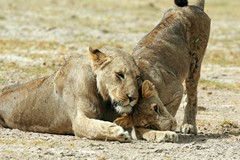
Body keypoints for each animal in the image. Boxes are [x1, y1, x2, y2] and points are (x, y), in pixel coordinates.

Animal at [0, 46, 142, 142]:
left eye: (137, 77)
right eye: (120, 74)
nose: (133, 98)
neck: (103, 99)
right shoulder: (78, 121)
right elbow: (95, 127)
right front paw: (118, 132)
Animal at [131, 0, 210, 134]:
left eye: (156, 109)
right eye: (148, 125)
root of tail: (193, 6)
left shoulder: (176, 90)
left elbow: (169, 111)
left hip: (195, 62)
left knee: (192, 96)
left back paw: (189, 125)